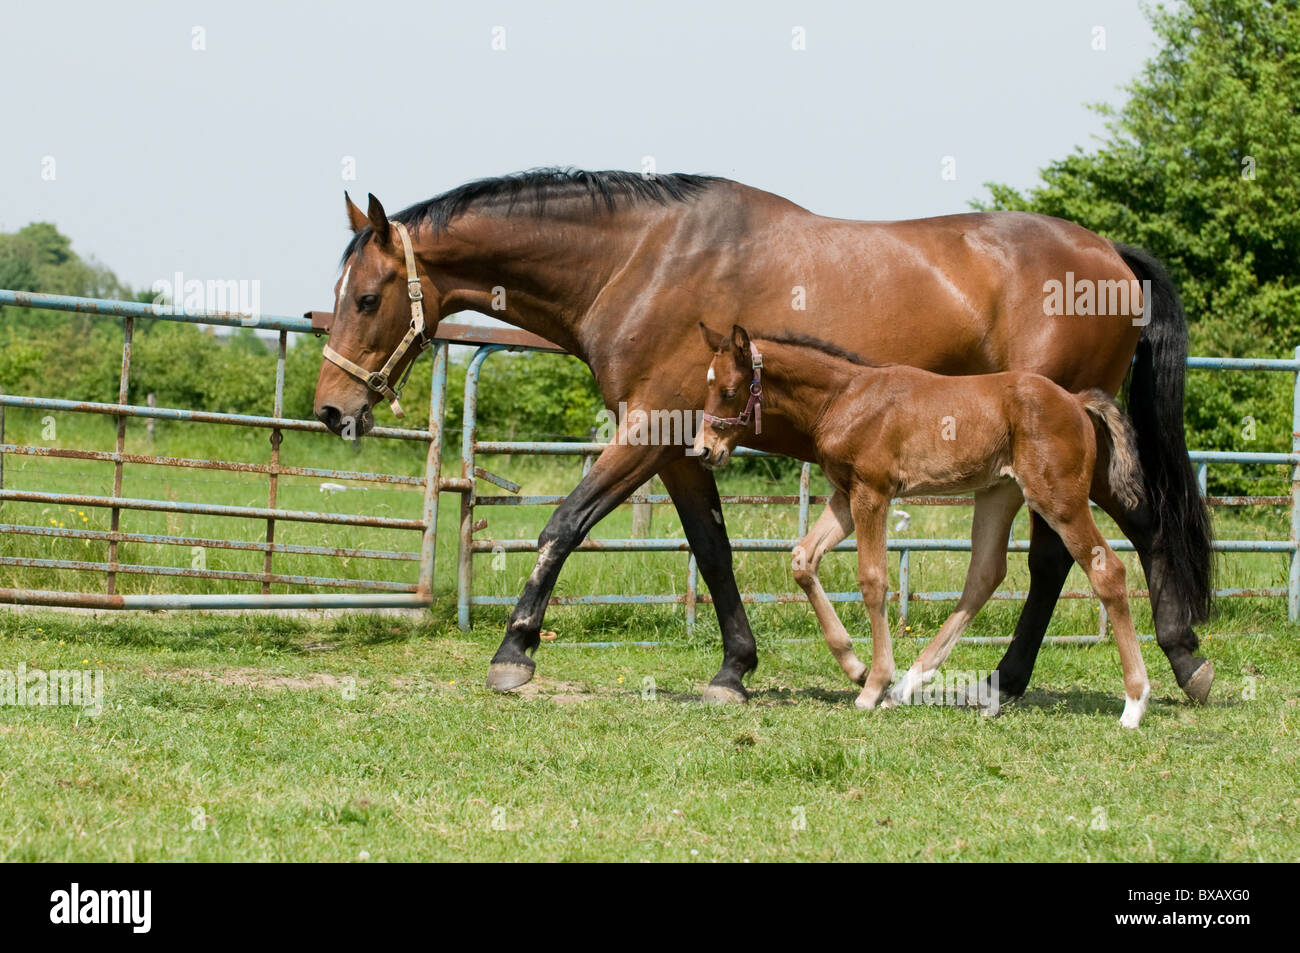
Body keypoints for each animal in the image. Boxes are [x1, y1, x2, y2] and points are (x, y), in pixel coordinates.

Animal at [694, 324, 1151, 727]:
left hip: (1059, 500)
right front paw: (856, 667)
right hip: (998, 493)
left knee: (1107, 571)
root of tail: (1076, 401)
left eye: (729, 391)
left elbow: (873, 579)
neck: (843, 397)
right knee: (984, 575)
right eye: (707, 385)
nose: (703, 450)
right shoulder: (844, 495)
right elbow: (803, 558)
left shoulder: (872, 493)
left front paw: (872, 685)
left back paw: (1134, 704)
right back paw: (908, 686)